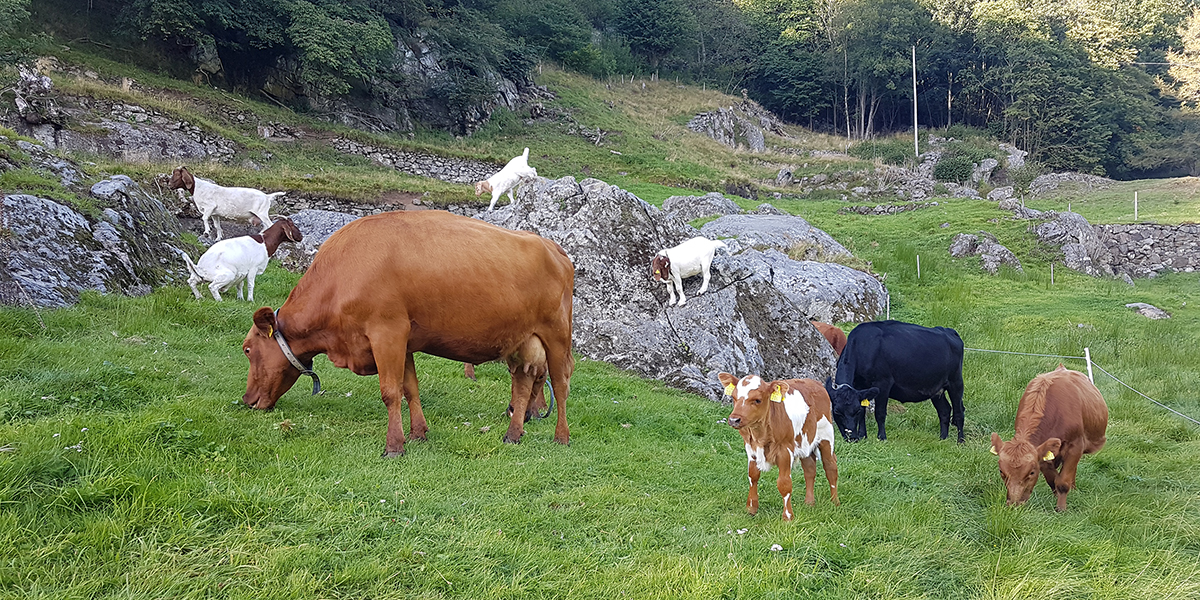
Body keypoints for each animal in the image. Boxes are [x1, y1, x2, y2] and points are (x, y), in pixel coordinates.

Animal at [241, 211, 573, 453]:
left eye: (247, 349)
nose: (246, 400)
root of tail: (552, 246)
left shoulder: (387, 333)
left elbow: (390, 392)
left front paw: (394, 446)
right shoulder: (406, 342)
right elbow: (409, 388)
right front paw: (417, 433)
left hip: (557, 335)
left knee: (560, 383)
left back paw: (561, 437)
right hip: (521, 340)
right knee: (523, 382)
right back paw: (513, 434)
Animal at [715, 369, 840, 520]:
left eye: (757, 400)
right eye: (734, 397)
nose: (734, 420)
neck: (760, 436)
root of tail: (815, 383)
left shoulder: (785, 450)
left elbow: (784, 483)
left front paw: (788, 516)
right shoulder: (751, 449)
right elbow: (753, 476)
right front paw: (751, 508)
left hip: (826, 436)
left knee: (830, 467)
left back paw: (835, 502)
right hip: (805, 442)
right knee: (809, 469)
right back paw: (809, 502)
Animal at [825, 321, 964, 444]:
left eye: (855, 411)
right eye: (837, 412)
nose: (852, 438)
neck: (863, 347)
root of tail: (949, 331)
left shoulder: (883, 383)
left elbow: (880, 413)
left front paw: (882, 438)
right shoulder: (860, 387)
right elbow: (864, 412)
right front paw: (863, 436)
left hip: (956, 382)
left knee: (959, 411)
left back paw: (960, 441)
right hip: (936, 389)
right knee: (945, 411)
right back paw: (943, 439)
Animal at [988, 364, 1108, 511]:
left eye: (1032, 472)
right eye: (1001, 471)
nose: (1015, 504)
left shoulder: (1075, 445)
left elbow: (1063, 481)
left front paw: (1061, 508)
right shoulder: (1044, 456)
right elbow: (1053, 478)